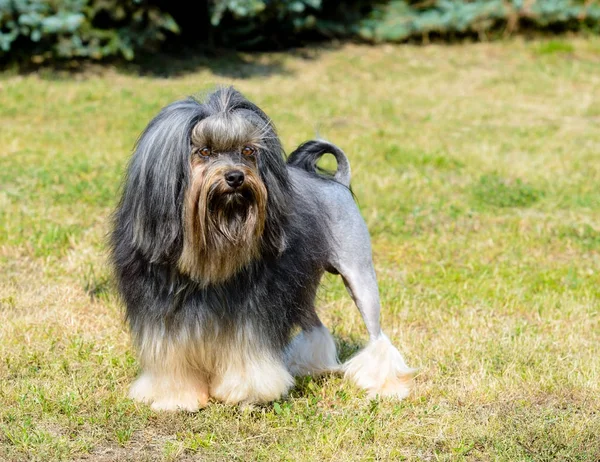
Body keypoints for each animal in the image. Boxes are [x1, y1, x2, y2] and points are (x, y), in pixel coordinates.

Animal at [110, 87, 414, 412]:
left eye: (247, 151)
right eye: (203, 152)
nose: (235, 177)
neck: (209, 247)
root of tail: (337, 183)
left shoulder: (252, 310)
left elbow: (247, 356)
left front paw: (246, 394)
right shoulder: (161, 310)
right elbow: (172, 357)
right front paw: (175, 398)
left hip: (358, 275)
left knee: (377, 336)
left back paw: (385, 387)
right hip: (302, 287)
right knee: (315, 325)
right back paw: (309, 366)